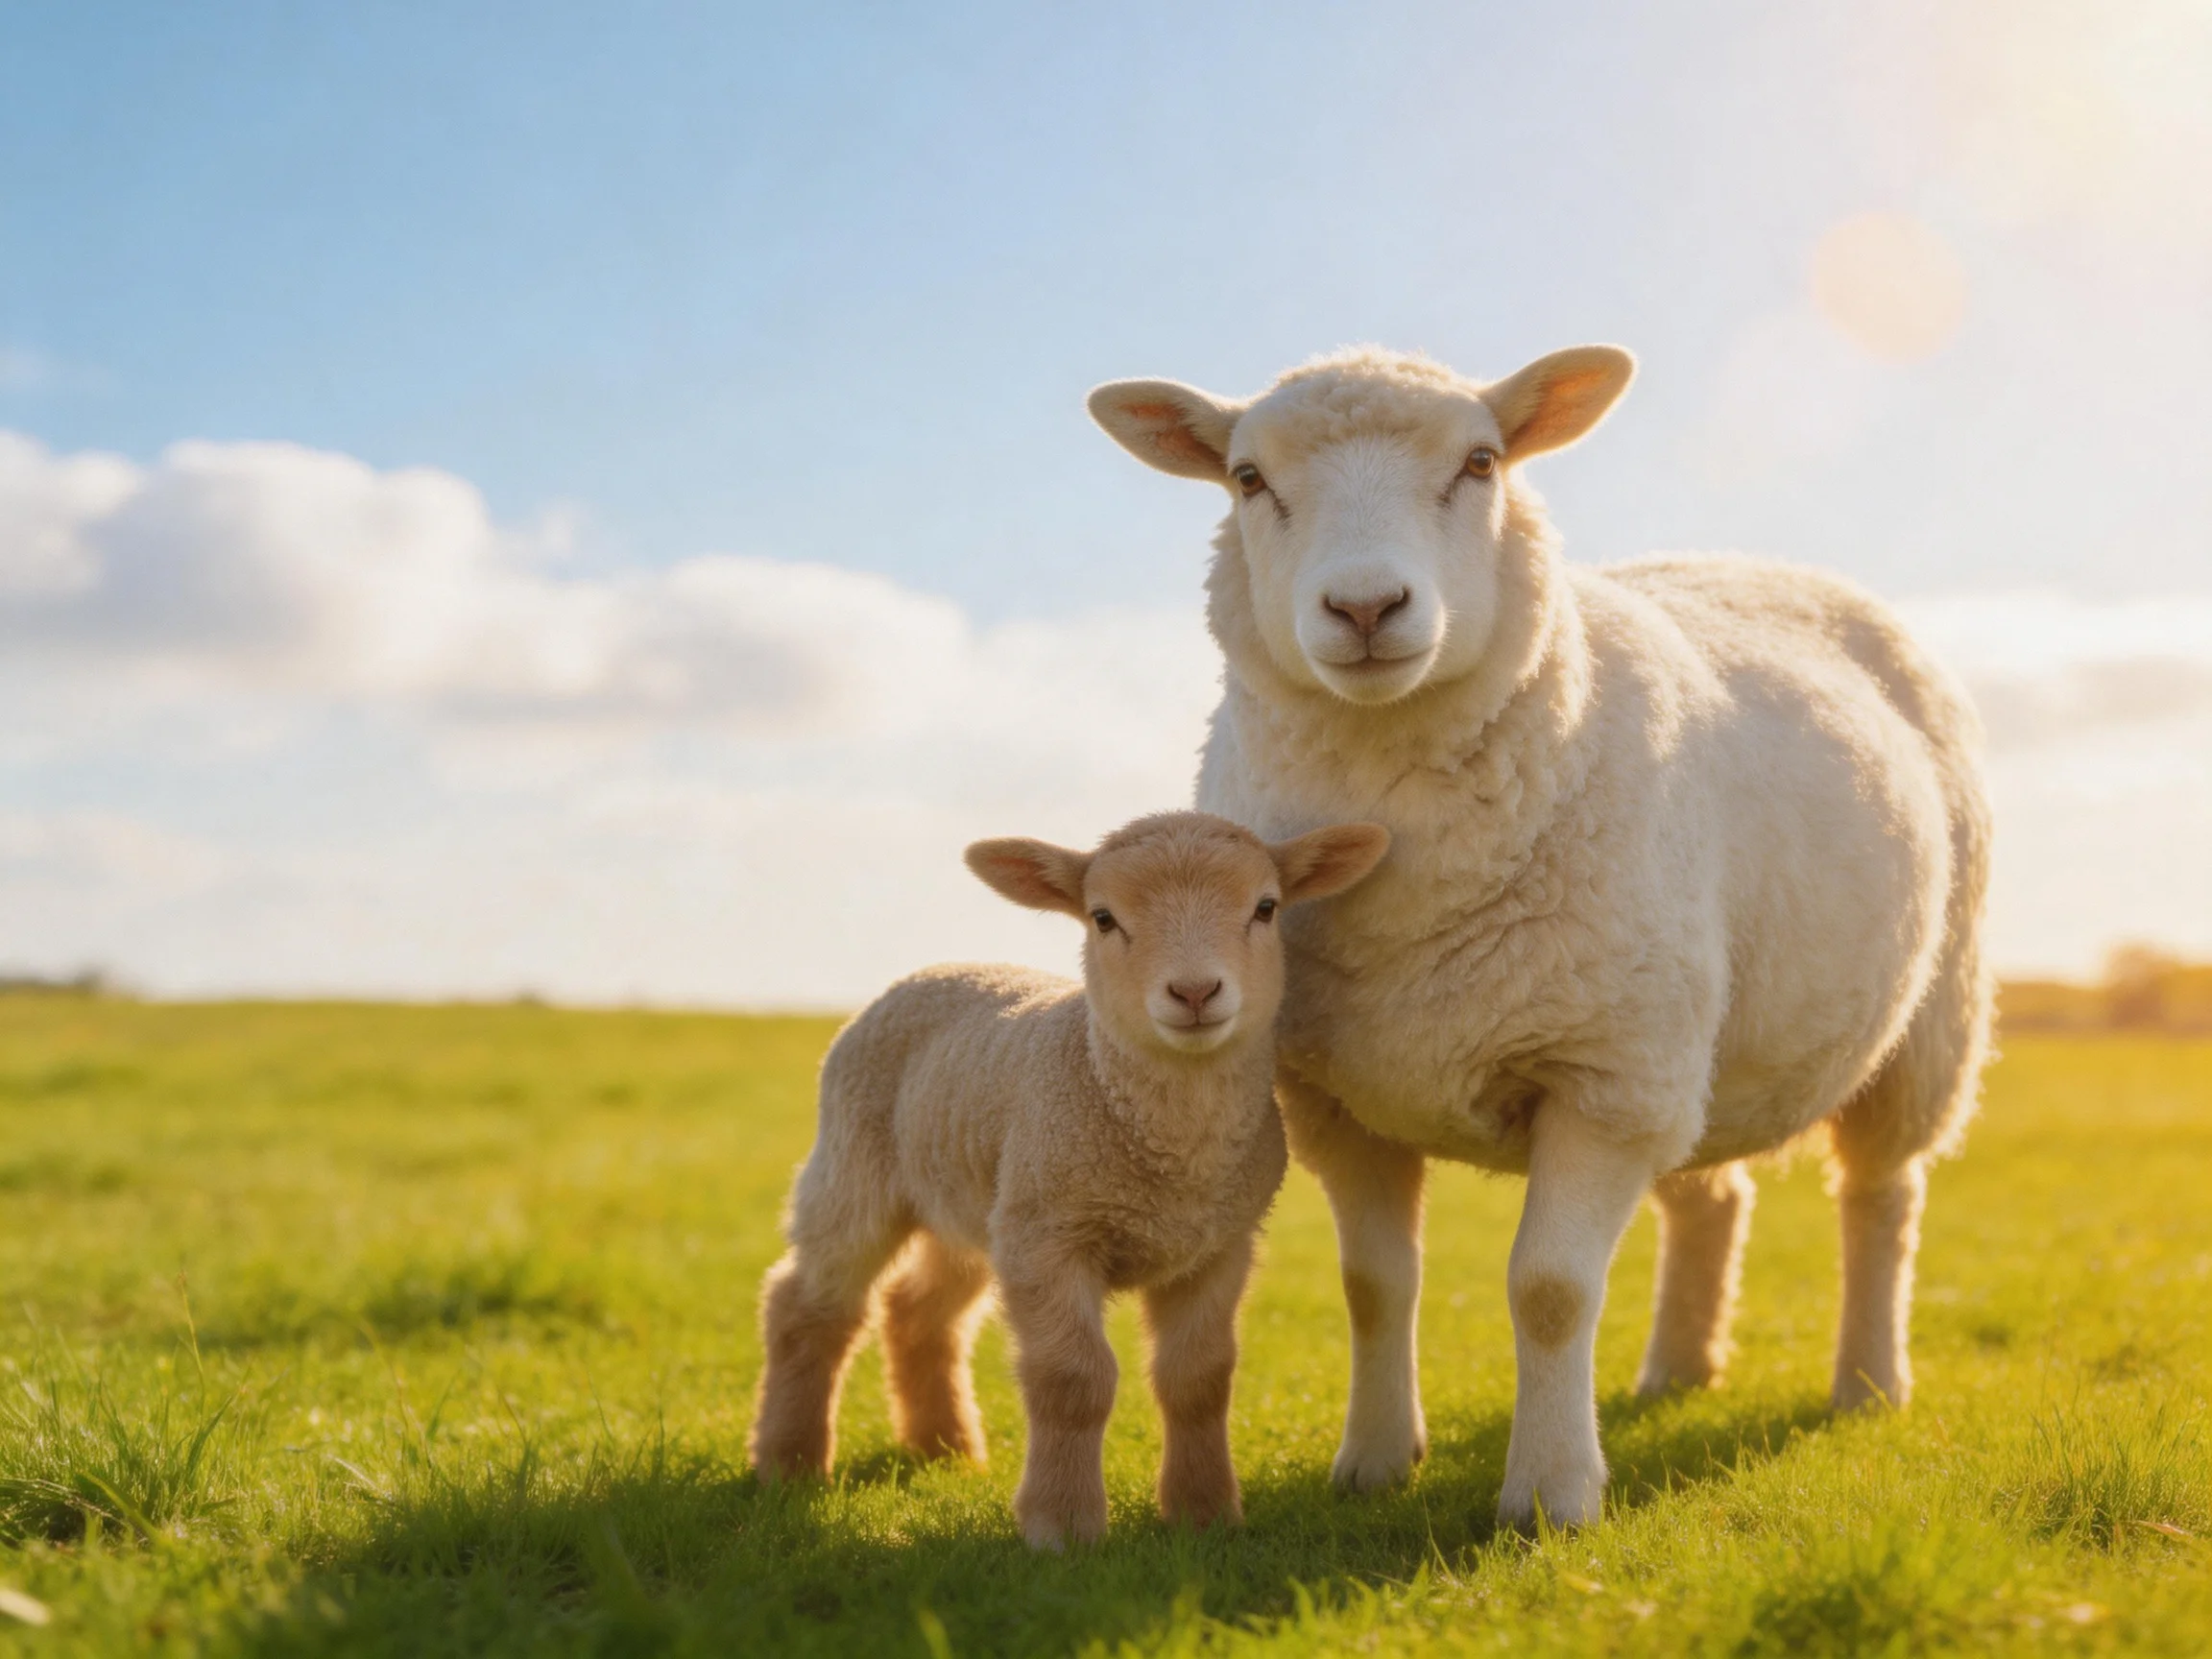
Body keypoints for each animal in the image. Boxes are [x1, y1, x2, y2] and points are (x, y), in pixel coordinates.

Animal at [748, 809, 1391, 1549]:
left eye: (1266, 907)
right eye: (1103, 918)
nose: (1194, 993)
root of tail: (937, 966)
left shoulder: (1219, 1244)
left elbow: (1199, 1378)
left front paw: (1203, 1514)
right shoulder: (1051, 1236)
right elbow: (1073, 1380)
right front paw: (1063, 1525)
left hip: (978, 1199)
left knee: (920, 1310)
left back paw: (944, 1451)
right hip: (858, 1164)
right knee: (809, 1306)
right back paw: (789, 1463)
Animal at [1088, 345, 1992, 1530]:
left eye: (1481, 462)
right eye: (1247, 478)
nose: (1366, 605)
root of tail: (1758, 560)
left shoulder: (1601, 1081)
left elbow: (1552, 1290)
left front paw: (1552, 1494)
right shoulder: (1333, 1099)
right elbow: (1373, 1287)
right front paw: (1374, 1461)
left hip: (1919, 1021)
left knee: (1883, 1198)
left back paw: (1870, 1383)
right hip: (1689, 1040)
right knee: (1715, 1191)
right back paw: (1678, 1370)